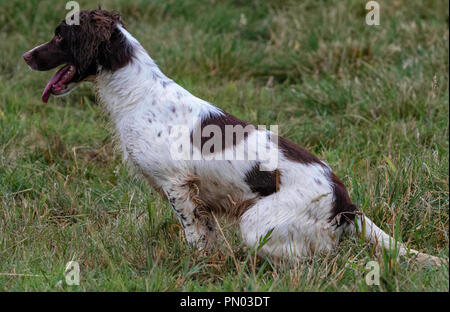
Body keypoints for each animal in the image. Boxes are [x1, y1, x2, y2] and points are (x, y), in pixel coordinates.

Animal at [22, 9, 442, 266]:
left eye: (59, 36)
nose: (26, 56)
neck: (138, 92)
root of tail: (345, 201)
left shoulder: (176, 185)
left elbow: (193, 236)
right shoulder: (195, 196)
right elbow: (205, 235)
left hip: (257, 222)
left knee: (314, 256)